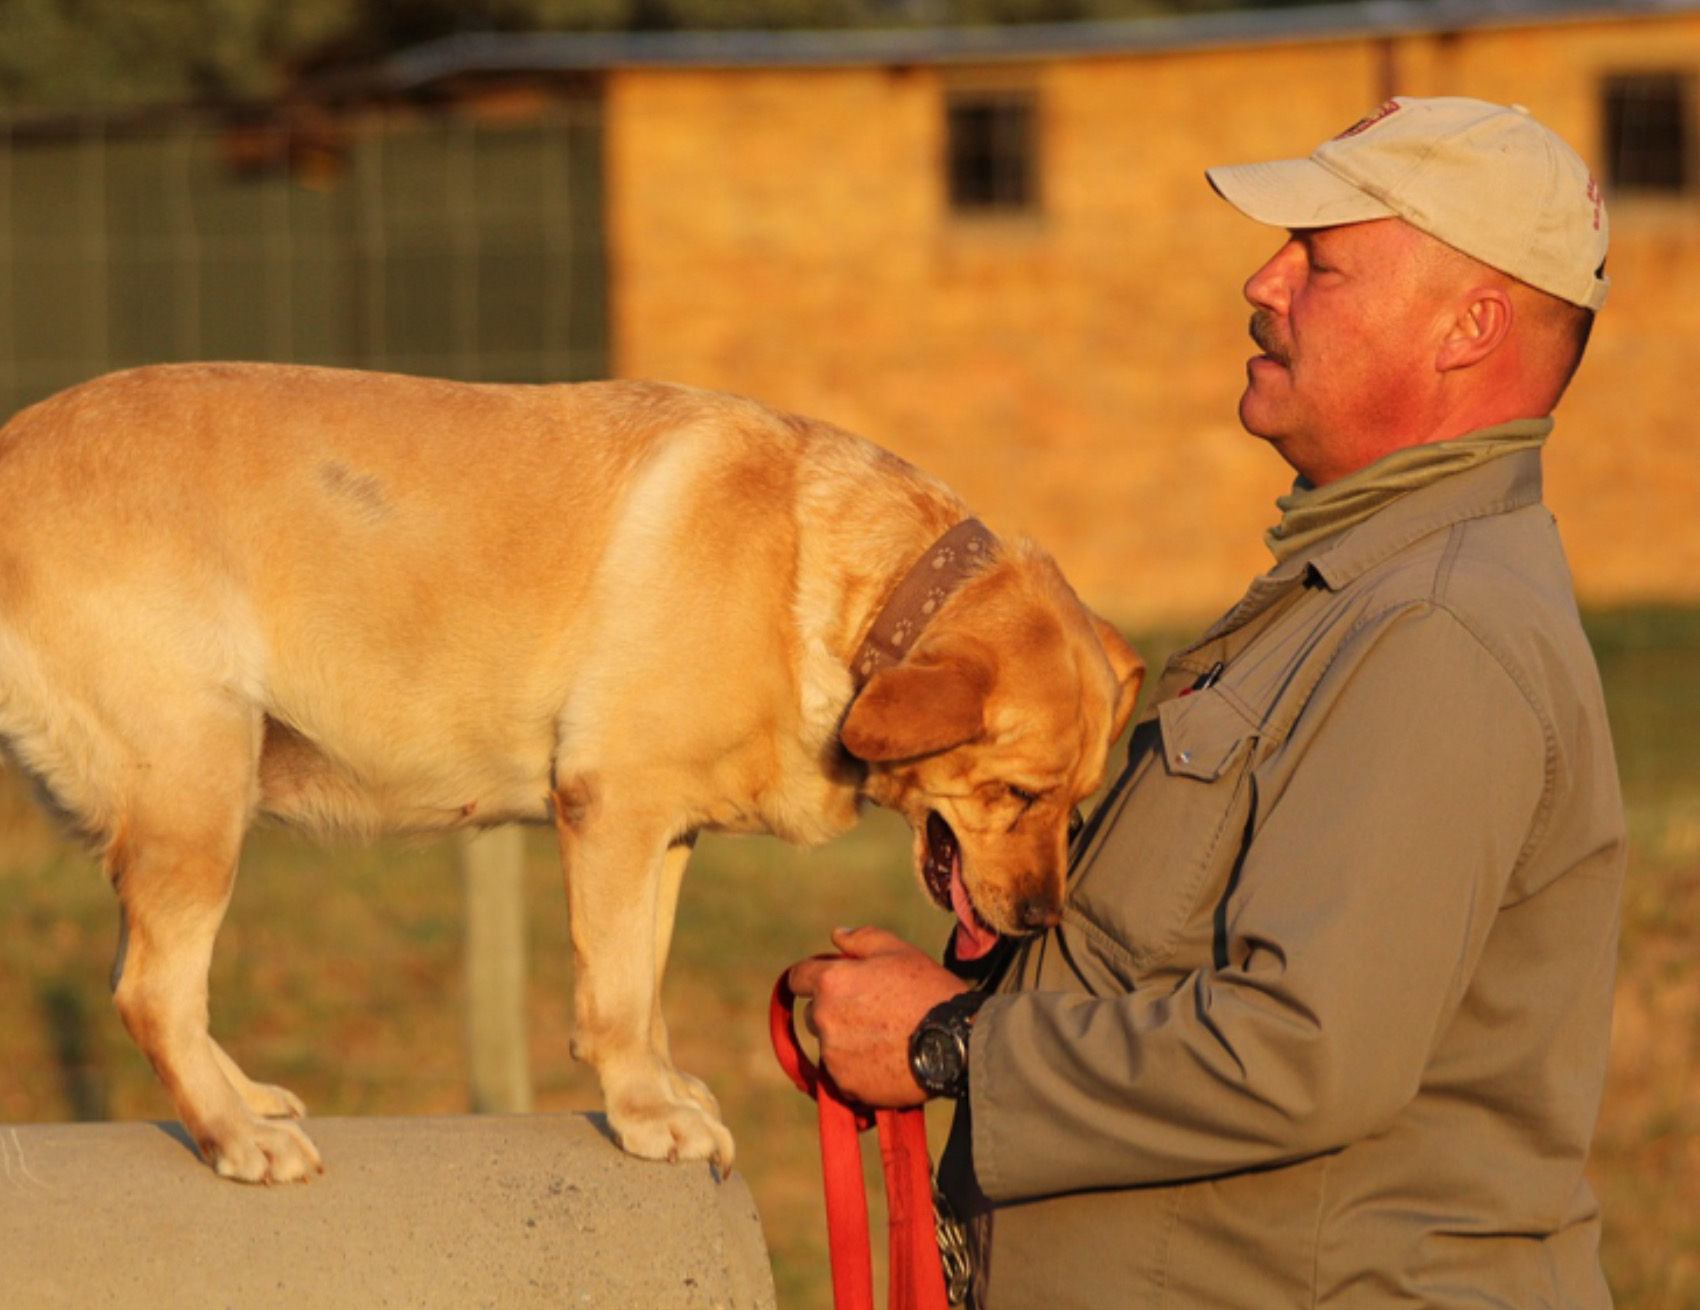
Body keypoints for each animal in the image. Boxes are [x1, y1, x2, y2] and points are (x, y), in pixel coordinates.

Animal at [0, 363, 1149, 1182]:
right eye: (1016, 794)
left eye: (1078, 806)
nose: (1043, 918)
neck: (831, 584)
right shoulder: (613, 805)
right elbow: (618, 991)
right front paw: (644, 1116)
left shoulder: (665, 830)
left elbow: (645, 977)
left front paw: (665, 1090)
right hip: (199, 786)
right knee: (153, 991)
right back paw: (236, 1135)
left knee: (150, 982)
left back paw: (245, 1098)